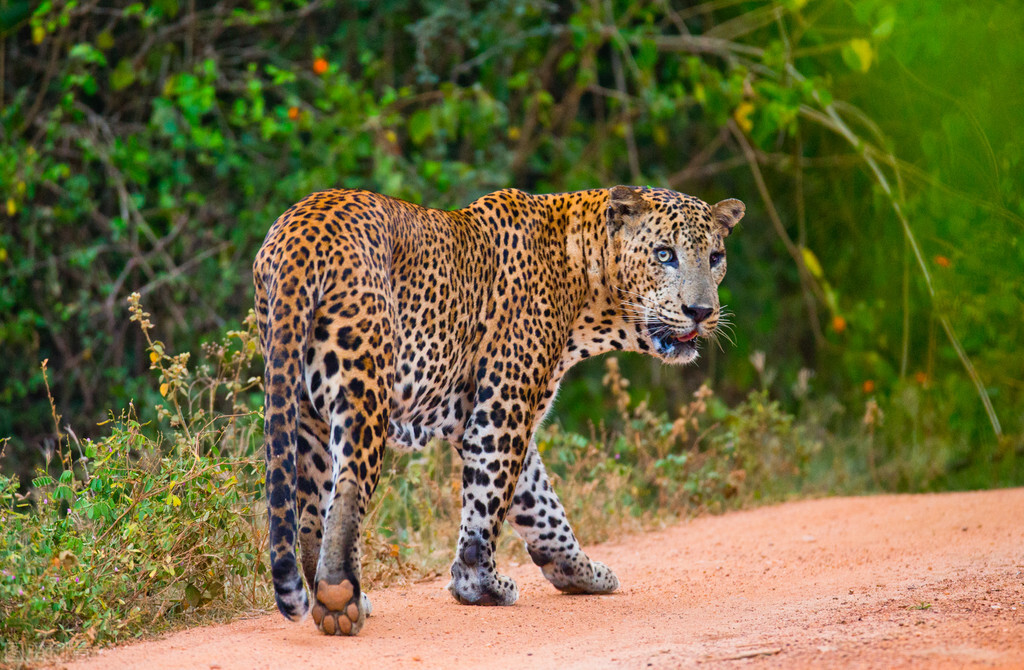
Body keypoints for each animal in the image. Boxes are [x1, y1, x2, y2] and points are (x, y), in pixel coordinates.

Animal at [249, 183, 745, 635]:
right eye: (665, 254)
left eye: (715, 257)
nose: (701, 311)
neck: (587, 282)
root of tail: (298, 236)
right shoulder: (505, 405)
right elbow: (490, 500)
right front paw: (478, 586)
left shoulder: (489, 412)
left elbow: (540, 505)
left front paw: (581, 573)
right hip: (363, 382)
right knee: (349, 487)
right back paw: (340, 602)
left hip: (304, 405)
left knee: (311, 511)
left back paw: (339, 594)